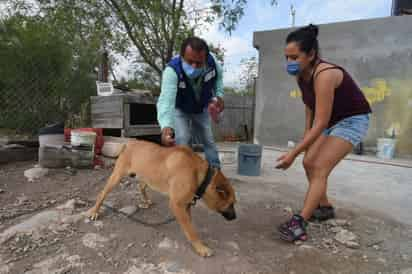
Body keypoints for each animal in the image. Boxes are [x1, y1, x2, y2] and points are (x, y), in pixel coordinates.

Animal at [86, 140, 235, 256]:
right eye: (231, 203)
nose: (235, 217)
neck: (200, 174)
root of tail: (129, 143)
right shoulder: (176, 204)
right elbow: (190, 229)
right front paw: (200, 247)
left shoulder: (185, 204)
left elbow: (189, 225)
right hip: (117, 176)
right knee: (102, 194)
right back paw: (94, 211)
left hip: (146, 176)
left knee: (141, 186)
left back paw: (146, 201)